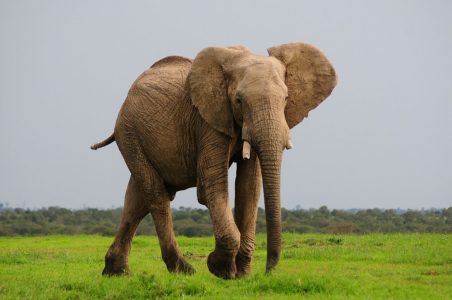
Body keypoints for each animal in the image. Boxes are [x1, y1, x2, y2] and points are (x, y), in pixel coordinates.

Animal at [91, 42, 336, 278]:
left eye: (286, 99)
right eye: (238, 100)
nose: (268, 272)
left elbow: (249, 187)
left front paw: (242, 274)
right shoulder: (207, 120)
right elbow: (212, 185)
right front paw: (222, 269)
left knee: (137, 198)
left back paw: (116, 273)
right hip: (129, 131)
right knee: (156, 194)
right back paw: (184, 270)